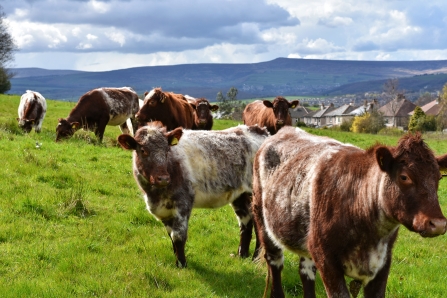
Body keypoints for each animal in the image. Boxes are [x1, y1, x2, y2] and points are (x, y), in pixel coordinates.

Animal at [116, 121, 270, 268]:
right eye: (143, 150)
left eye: (167, 150)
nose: (163, 178)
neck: (155, 195)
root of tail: (260, 130)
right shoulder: (164, 211)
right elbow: (171, 235)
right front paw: (177, 259)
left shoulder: (183, 203)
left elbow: (178, 236)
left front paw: (181, 264)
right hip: (240, 195)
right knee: (246, 222)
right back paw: (242, 255)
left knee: (260, 227)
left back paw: (255, 259)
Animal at [252, 126, 447, 298]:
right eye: (404, 177)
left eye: (438, 177)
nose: (438, 224)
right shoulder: (325, 259)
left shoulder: (383, 262)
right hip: (263, 221)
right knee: (275, 263)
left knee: (306, 271)